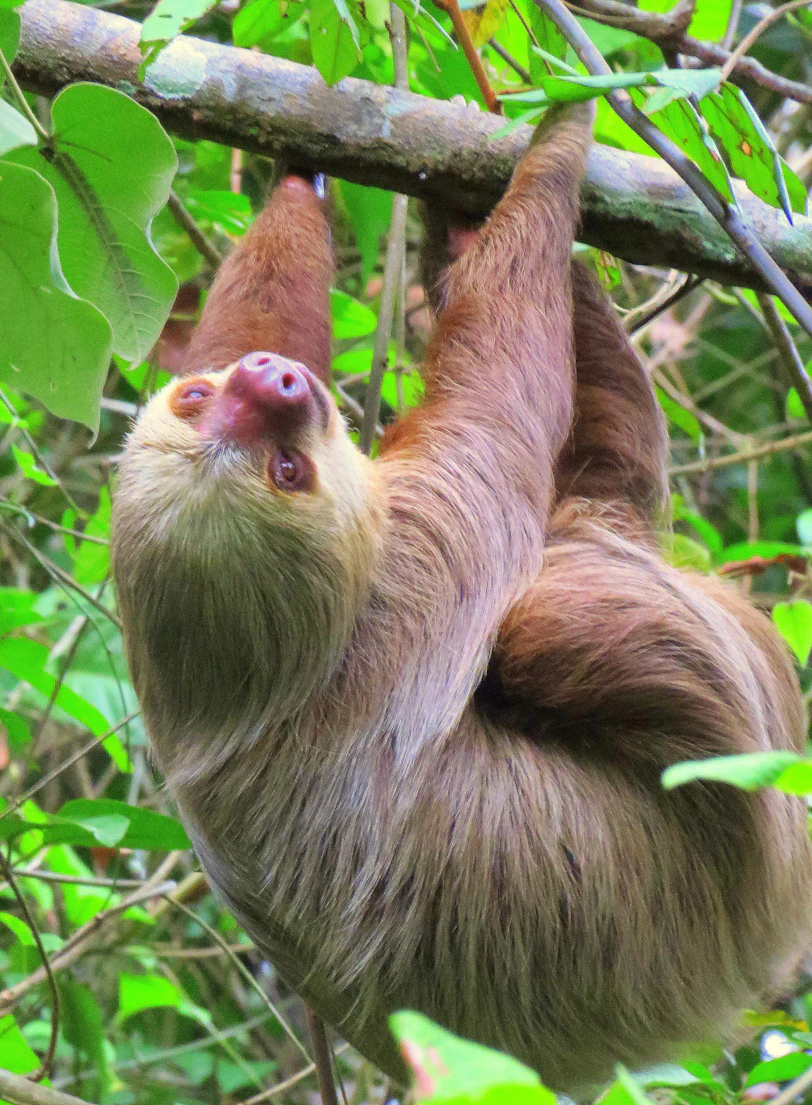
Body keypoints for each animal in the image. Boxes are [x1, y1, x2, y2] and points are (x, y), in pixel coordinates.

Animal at [111, 102, 812, 1094]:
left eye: (197, 397)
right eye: (287, 471)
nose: (274, 382)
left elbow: (252, 312)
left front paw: (303, 172)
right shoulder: (420, 572)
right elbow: (500, 403)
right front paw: (558, 143)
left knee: (611, 461)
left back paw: (466, 238)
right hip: (748, 826)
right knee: (576, 601)